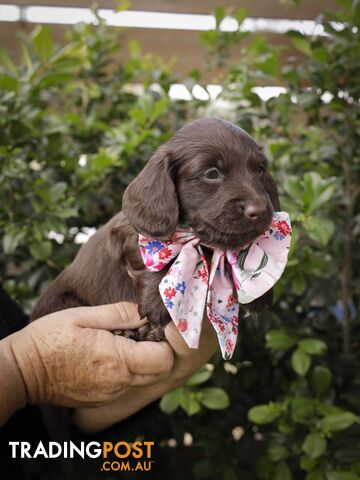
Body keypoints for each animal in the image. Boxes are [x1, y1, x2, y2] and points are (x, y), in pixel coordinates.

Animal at [31, 117, 278, 340]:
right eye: (212, 174)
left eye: (260, 169)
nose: (258, 210)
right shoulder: (130, 237)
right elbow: (160, 259)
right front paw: (157, 304)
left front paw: (259, 292)